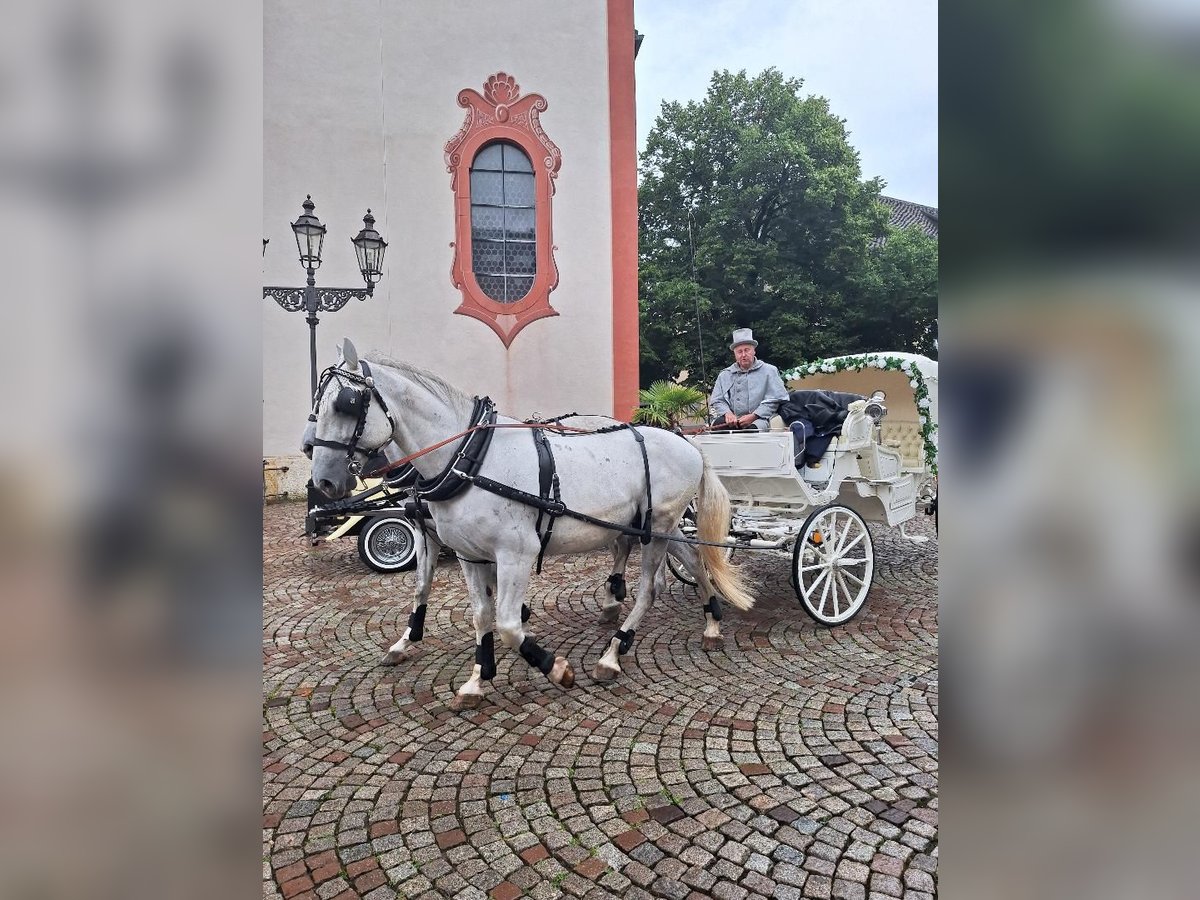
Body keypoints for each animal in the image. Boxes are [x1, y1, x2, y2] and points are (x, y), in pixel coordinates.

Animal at [309, 340, 753, 710]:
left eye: (346, 404)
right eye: (318, 404)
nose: (322, 483)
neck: (470, 458)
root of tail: (686, 441)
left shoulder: (517, 554)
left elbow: (507, 624)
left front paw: (555, 668)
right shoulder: (468, 554)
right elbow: (479, 615)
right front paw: (476, 679)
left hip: (656, 526)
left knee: (650, 588)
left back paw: (613, 653)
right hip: (656, 525)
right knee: (694, 561)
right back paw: (711, 624)